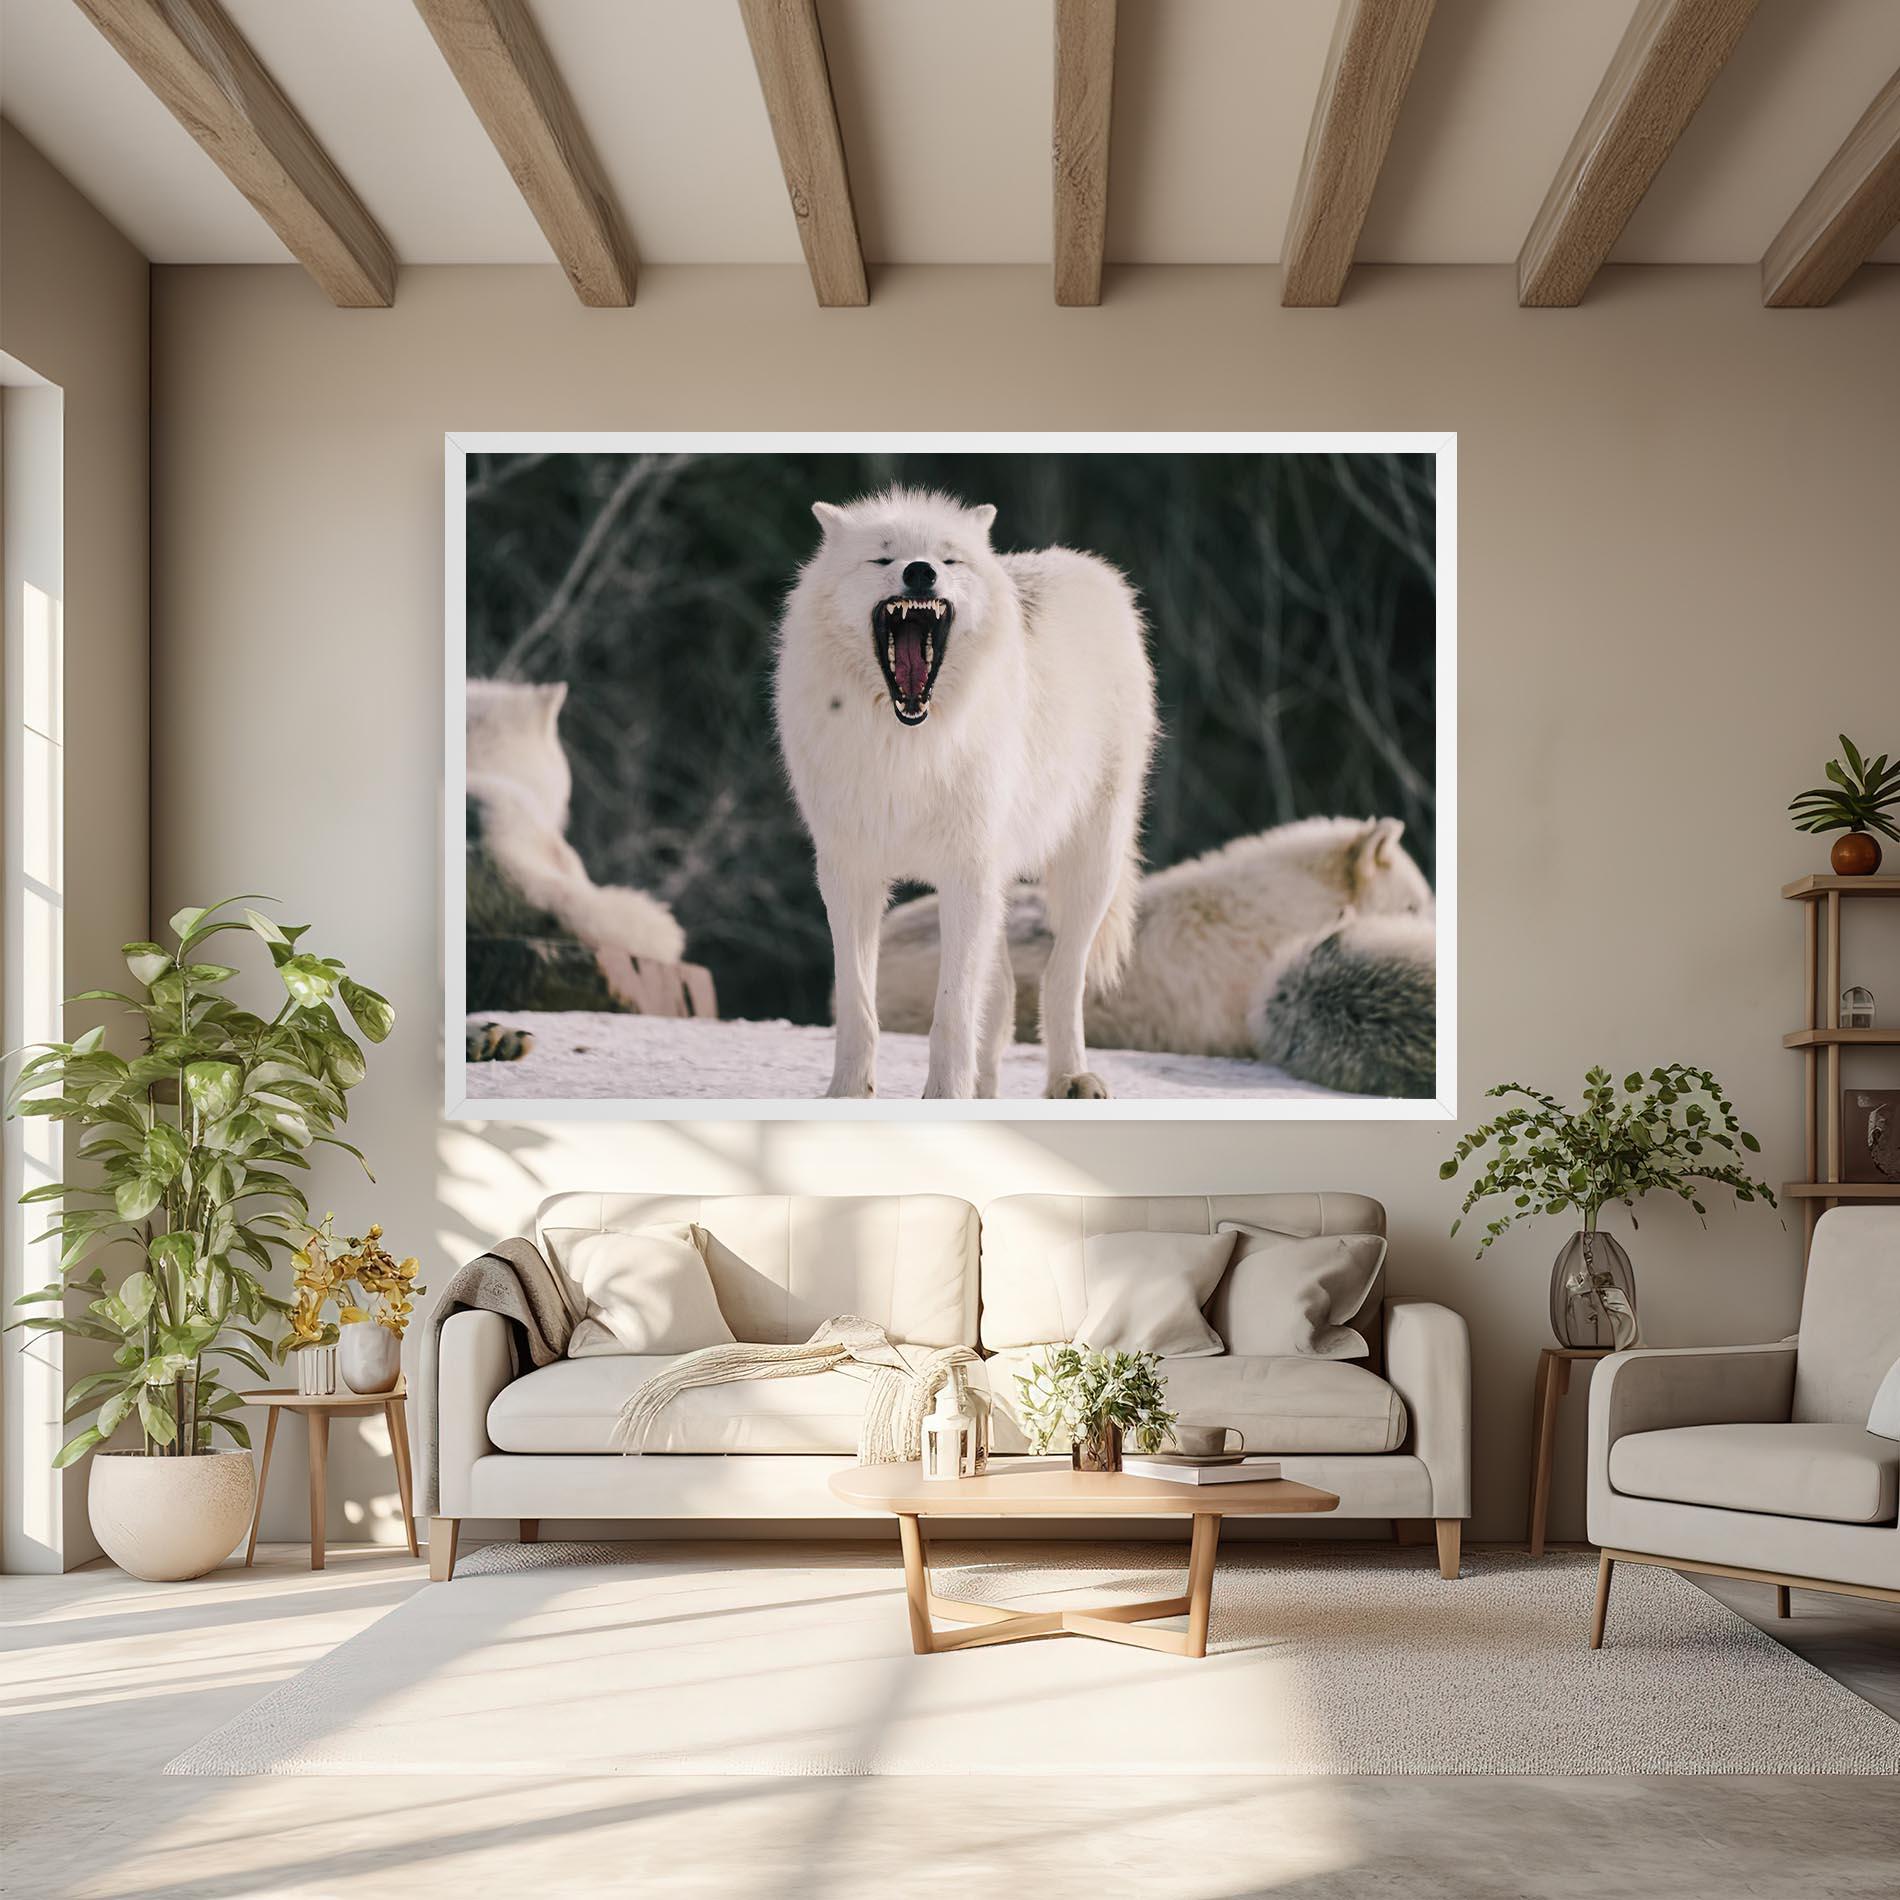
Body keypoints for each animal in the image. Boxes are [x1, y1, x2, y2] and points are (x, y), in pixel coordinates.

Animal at [773, 488, 1157, 1100]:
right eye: (883, 558)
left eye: (948, 559)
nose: (920, 572)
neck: (907, 747)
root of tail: (1087, 567)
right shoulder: (849, 873)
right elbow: (859, 1007)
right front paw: (848, 1095)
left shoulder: (965, 872)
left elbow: (952, 1011)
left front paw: (944, 1096)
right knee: (1000, 998)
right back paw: (989, 1089)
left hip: (1089, 864)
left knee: (1061, 977)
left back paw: (1071, 1077)